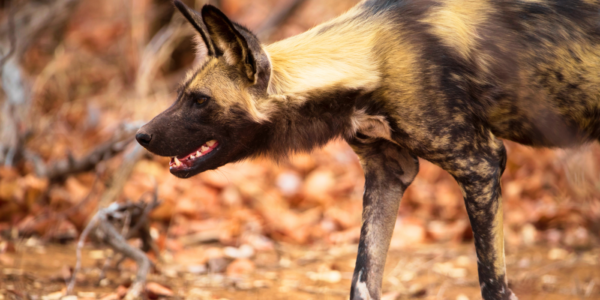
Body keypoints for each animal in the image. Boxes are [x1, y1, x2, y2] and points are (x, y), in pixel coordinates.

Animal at [136, 0, 600, 298]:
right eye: (181, 95)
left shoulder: (481, 165)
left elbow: (492, 285)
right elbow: (363, 279)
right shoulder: (388, 174)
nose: (140, 136)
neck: (372, 57)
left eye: (201, 101)